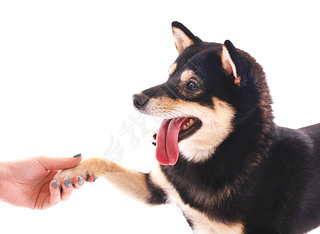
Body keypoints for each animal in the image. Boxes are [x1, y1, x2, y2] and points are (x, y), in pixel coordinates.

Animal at [54, 21, 320, 232]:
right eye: (168, 75)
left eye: (192, 85)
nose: (135, 99)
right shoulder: (156, 188)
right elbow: (104, 162)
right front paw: (71, 172)